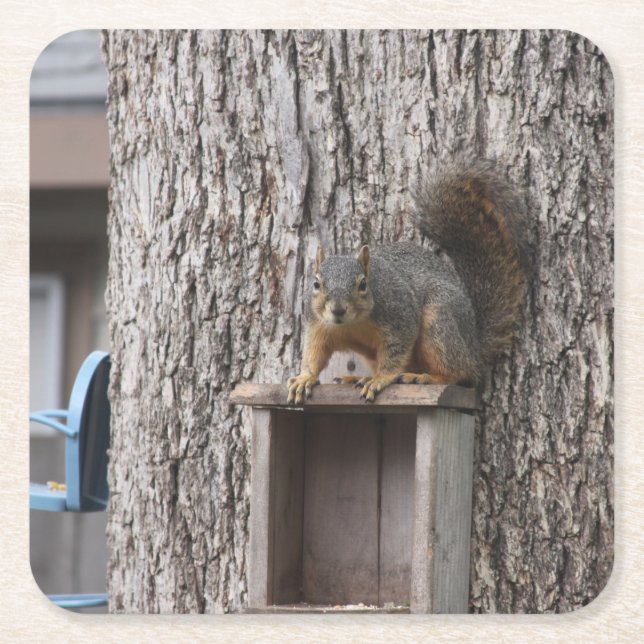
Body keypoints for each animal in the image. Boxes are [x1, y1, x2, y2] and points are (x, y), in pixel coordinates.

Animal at [287, 159, 528, 403]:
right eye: (316, 284)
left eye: (363, 284)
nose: (337, 310)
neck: (352, 324)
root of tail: (474, 346)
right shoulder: (317, 325)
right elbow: (314, 353)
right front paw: (304, 378)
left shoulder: (400, 315)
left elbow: (396, 351)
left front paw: (381, 379)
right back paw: (358, 377)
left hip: (438, 321)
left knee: (462, 372)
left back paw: (423, 377)